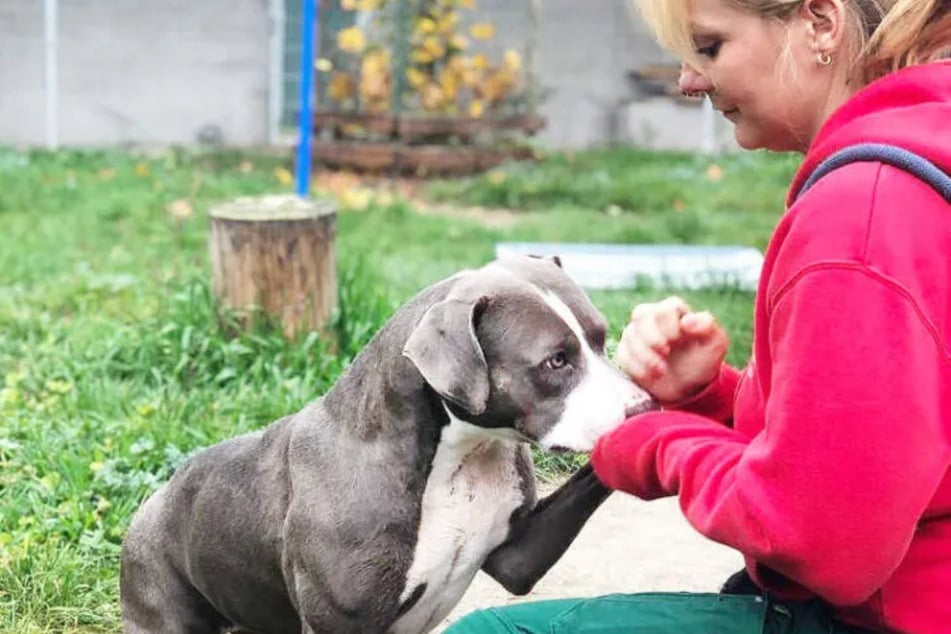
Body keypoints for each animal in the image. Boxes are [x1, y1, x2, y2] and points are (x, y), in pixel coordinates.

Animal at [119, 254, 656, 628]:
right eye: (555, 361)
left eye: (601, 337)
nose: (643, 405)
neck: (459, 456)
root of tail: (154, 500)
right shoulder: (341, 621)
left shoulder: (516, 555)